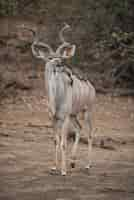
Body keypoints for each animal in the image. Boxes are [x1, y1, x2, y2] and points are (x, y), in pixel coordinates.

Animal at [21, 23, 95, 175]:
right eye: (49, 58)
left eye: (61, 57)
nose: (59, 63)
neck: (56, 98)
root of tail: (91, 86)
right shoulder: (53, 118)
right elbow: (55, 140)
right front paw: (54, 167)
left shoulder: (64, 118)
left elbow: (63, 143)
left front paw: (63, 171)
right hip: (74, 115)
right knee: (79, 128)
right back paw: (73, 162)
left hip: (87, 111)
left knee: (90, 133)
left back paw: (87, 165)